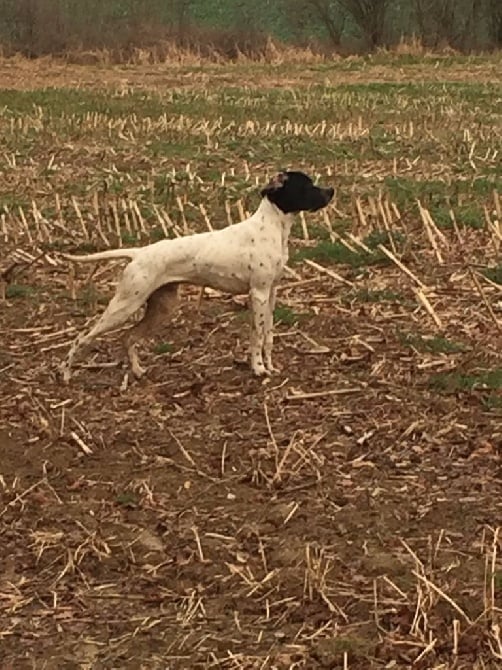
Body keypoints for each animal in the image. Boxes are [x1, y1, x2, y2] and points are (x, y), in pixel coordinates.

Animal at [60, 171, 334, 384]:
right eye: (307, 185)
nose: (331, 190)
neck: (272, 228)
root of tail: (138, 253)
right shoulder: (257, 294)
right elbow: (256, 336)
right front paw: (257, 369)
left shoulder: (271, 293)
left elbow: (268, 336)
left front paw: (270, 366)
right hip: (124, 306)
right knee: (81, 338)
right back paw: (66, 374)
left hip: (162, 308)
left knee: (128, 337)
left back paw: (137, 372)